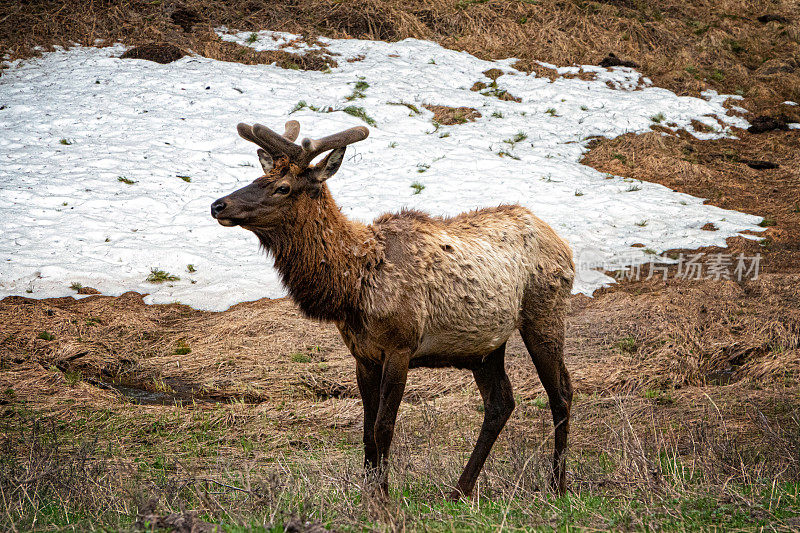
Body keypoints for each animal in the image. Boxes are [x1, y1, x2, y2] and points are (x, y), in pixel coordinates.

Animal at [212, 118, 576, 496]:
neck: (353, 287)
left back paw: (557, 484)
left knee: (561, 394)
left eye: (282, 187)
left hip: (545, 314)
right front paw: (369, 493)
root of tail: (563, 242)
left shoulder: (400, 346)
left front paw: (383, 496)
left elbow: (383, 427)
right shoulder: (364, 355)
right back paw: (460, 490)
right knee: (500, 403)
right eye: (259, 177)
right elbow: (365, 432)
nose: (218, 205)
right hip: (486, 345)